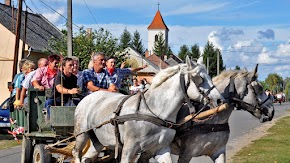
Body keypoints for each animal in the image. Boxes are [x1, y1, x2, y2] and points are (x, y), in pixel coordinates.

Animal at [71, 56, 223, 162]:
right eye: (200, 78)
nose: (220, 100)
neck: (155, 111)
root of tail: (87, 98)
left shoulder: (161, 149)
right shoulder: (128, 149)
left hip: (98, 141)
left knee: (87, 158)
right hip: (81, 134)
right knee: (76, 153)